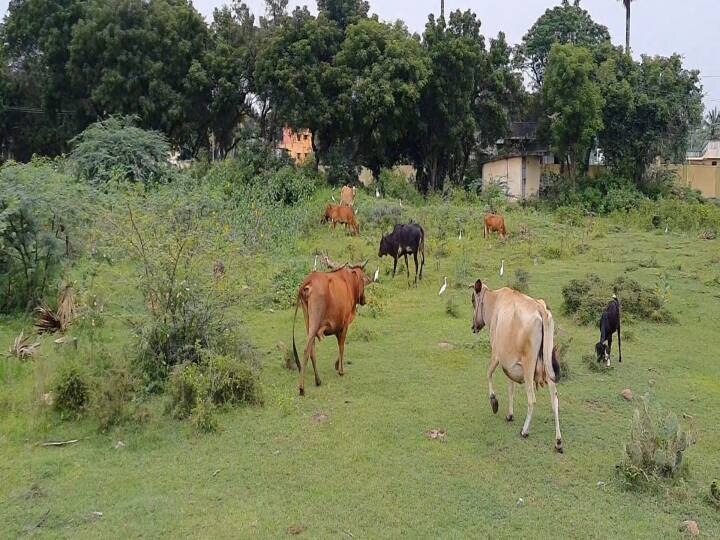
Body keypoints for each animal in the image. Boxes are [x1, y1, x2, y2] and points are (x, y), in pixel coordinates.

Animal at [292, 260, 372, 394]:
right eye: (362, 280)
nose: (364, 300)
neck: (349, 282)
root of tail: (309, 279)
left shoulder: (337, 326)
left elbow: (340, 344)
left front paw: (336, 365)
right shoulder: (344, 324)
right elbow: (342, 346)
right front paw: (341, 370)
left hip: (308, 320)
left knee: (312, 349)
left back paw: (318, 380)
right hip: (315, 320)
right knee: (307, 349)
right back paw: (302, 388)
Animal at [470, 278, 564, 452]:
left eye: (473, 300)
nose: (473, 327)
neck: (495, 300)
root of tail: (540, 308)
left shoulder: (497, 353)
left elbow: (489, 373)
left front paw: (494, 402)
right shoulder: (510, 364)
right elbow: (511, 388)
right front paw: (510, 414)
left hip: (528, 367)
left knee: (532, 399)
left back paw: (525, 431)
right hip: (548, 366)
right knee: (555, 401)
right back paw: (558, 441)